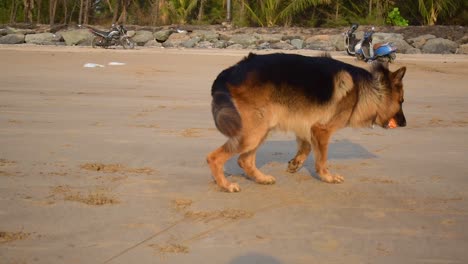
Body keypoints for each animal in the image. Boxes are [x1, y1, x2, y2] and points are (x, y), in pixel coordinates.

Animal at [207, 52, 404, 192]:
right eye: (401, 102)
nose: (404, 124)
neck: (369, 89)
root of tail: (230, 71)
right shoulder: (321, 130)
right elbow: (321, 159)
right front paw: (327, 177)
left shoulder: (305, 124)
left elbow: (307, 146)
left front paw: (296, 163)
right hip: (253, 133)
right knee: (214, 158)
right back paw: (226, 185)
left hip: (261, 129)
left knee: (244, 160)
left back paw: (261, 179)